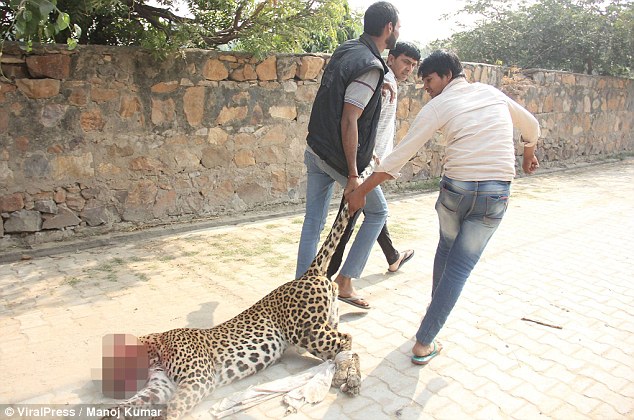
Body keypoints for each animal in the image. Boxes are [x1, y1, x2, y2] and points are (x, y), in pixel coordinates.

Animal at [104, 198, 360, 420]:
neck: (156, 351)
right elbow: (133, 402)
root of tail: (307, 275)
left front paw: (163, 416)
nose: (110, 386)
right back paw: (346, 377)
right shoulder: (161, 386)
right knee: (339, 348)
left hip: (305, 331)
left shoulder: (198, 379)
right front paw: (112, 412)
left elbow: (174, 405)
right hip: (320, 326)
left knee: (346, 340)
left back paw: (345, 376)